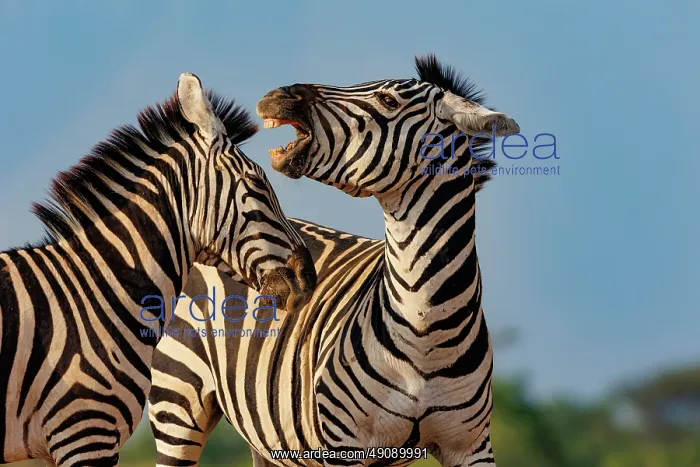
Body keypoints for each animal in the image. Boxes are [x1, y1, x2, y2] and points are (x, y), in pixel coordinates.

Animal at [147, 54, 519, 467]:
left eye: (388, 100)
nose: (276, 95)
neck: (424, 326)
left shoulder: (470, 446)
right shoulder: (344, 444)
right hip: (177, 399)